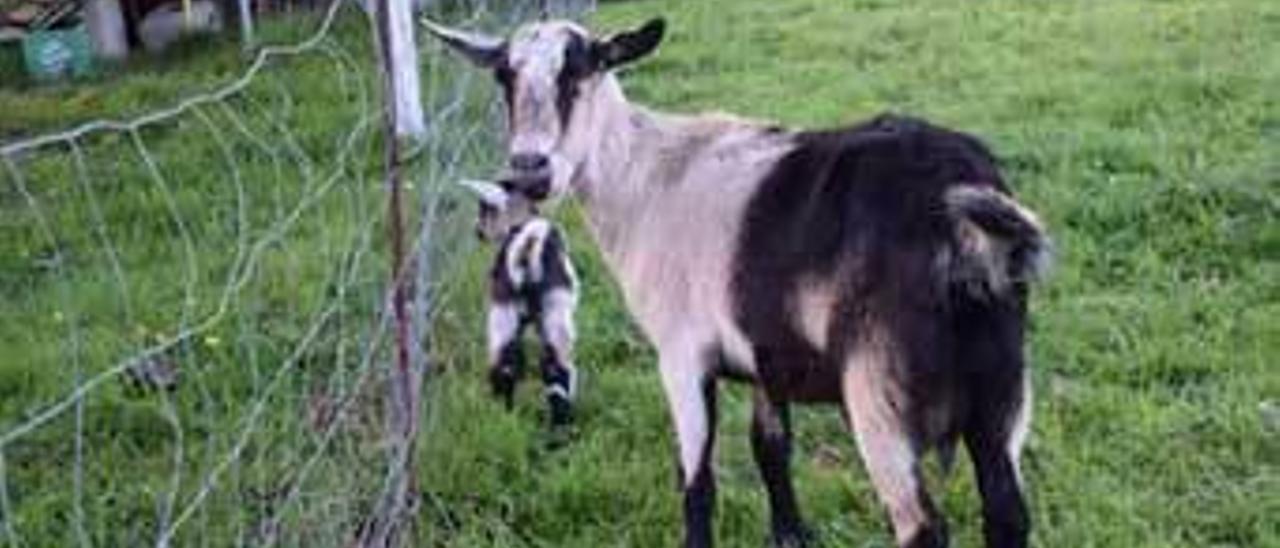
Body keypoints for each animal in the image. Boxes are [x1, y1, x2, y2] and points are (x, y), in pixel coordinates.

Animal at [460, 177, 581, 425]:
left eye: (484, 209)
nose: (477, 231)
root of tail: (529, 246)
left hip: (509, 309)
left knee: (507, 365)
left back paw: (504, 418)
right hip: (550, 308)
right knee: (555, 368)